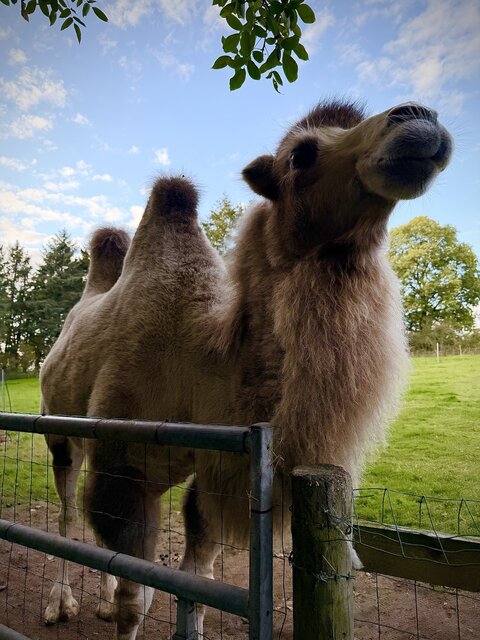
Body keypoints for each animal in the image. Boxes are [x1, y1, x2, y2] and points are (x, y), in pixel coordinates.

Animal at [40, 100, 452, 639]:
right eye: (300, 155)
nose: (418, 118)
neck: (203, 364)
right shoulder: (124, 468)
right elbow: (139, 596)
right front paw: (118, 607)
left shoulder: (218, 474)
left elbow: (190, 584)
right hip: (58, 430)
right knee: (68, 513)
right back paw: (58, 604)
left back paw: (100, 601)